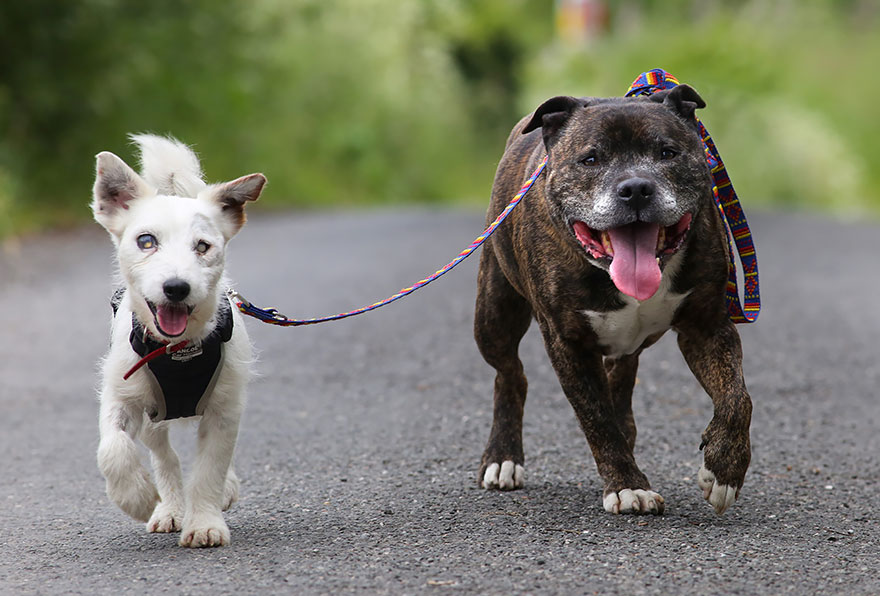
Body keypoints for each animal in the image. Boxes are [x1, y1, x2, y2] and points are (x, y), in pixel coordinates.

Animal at [93, 135, 264, 548]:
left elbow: (210, 468)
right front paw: (136, 497)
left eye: (202, 247)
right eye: (146, 241)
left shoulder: (225, 410)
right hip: (153, 416)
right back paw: (168, 507)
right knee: (164, 456)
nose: (176, 287)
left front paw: (204, 522)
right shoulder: (121, 395)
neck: (179, 351)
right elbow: (113, 448)